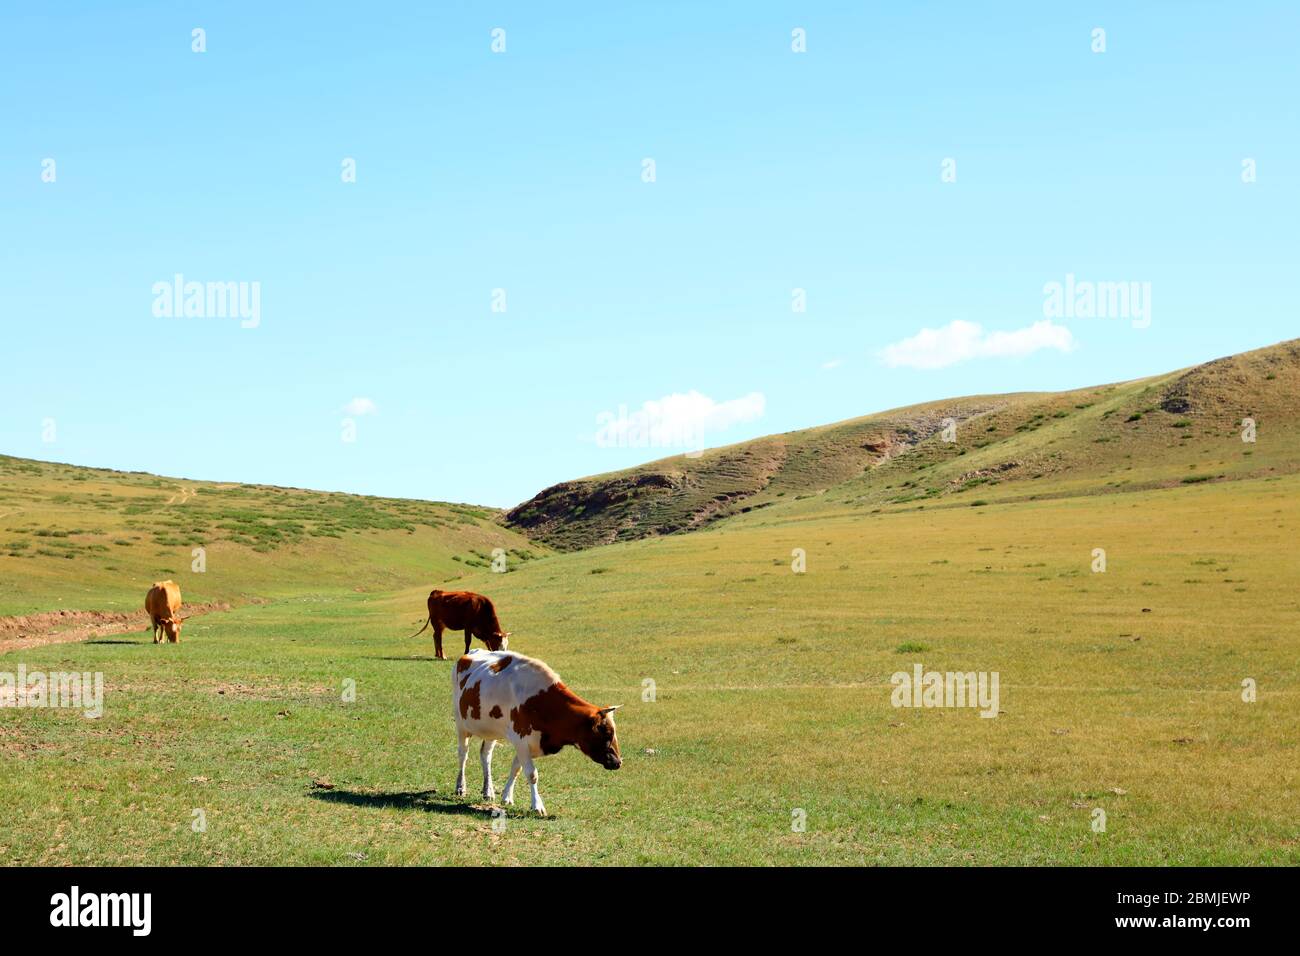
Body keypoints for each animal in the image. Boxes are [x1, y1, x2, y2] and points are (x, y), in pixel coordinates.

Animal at [451, 649, 621, 816]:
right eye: (606, 733)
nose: (618, 762)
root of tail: (470, 652)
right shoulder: (521, 740)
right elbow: (532, 774)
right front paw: (537, 805)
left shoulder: (531, 743)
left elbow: (516, 768)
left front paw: (507, 796)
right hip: (461, 723)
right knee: (463, 754)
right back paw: (460, 787)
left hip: (491, 730)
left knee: (485, 755)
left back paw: (488, 791)